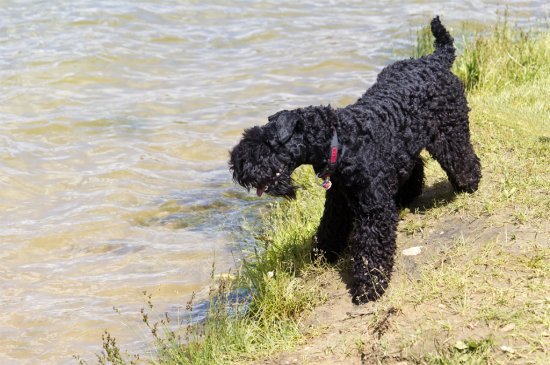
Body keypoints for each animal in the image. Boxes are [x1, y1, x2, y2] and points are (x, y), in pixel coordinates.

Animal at [231, 17, 480, 302]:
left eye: (266, 144)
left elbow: (370, 248)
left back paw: (469, 183)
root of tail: (435, 59)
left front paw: (369, 286)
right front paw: (321, 255)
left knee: (461, 157)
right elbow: (330, 227)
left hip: (450, 132)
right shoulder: (338, 199)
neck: (342, 140)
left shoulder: (372, 208)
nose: (236, 166)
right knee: (414, 166)